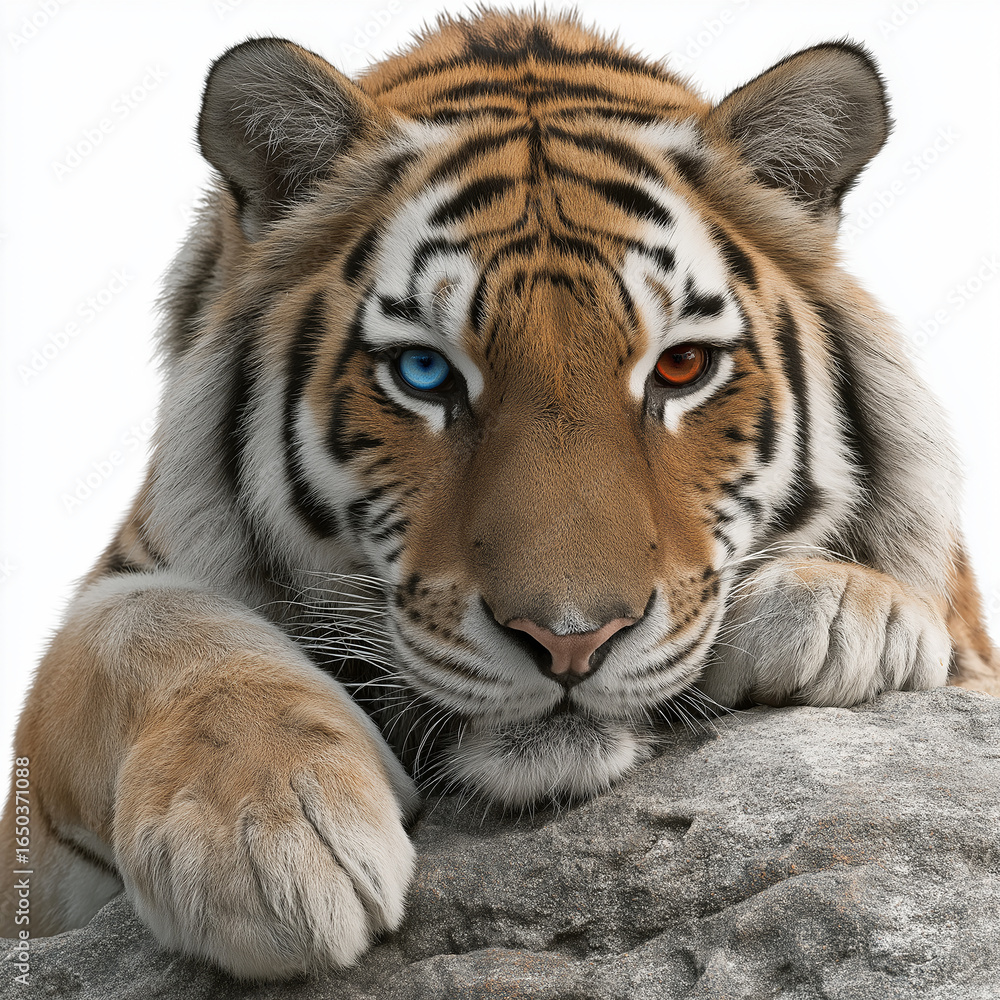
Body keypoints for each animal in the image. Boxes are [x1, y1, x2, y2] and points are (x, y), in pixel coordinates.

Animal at [3, 7, 997, 982]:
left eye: (680, 367)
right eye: (425, 373)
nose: (571, 640)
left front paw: (845, 610)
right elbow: (137, 627)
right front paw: (266, 839)